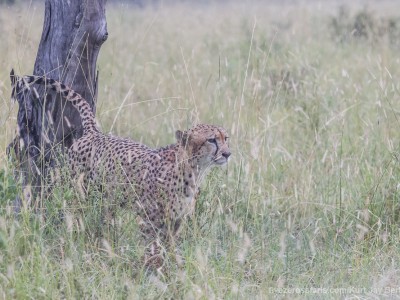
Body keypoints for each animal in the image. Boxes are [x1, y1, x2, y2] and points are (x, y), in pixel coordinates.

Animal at [10, 71, 231, 268]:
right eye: (212, 140)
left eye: (225, 138)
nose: (228, 153)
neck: (193, 170)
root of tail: (94, 132)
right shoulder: (150, 220)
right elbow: (152, 247)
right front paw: (151, 268)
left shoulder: (174, 221)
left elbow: (169, 247)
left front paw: (171, 266)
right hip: (78, 193)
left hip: (107, 201)